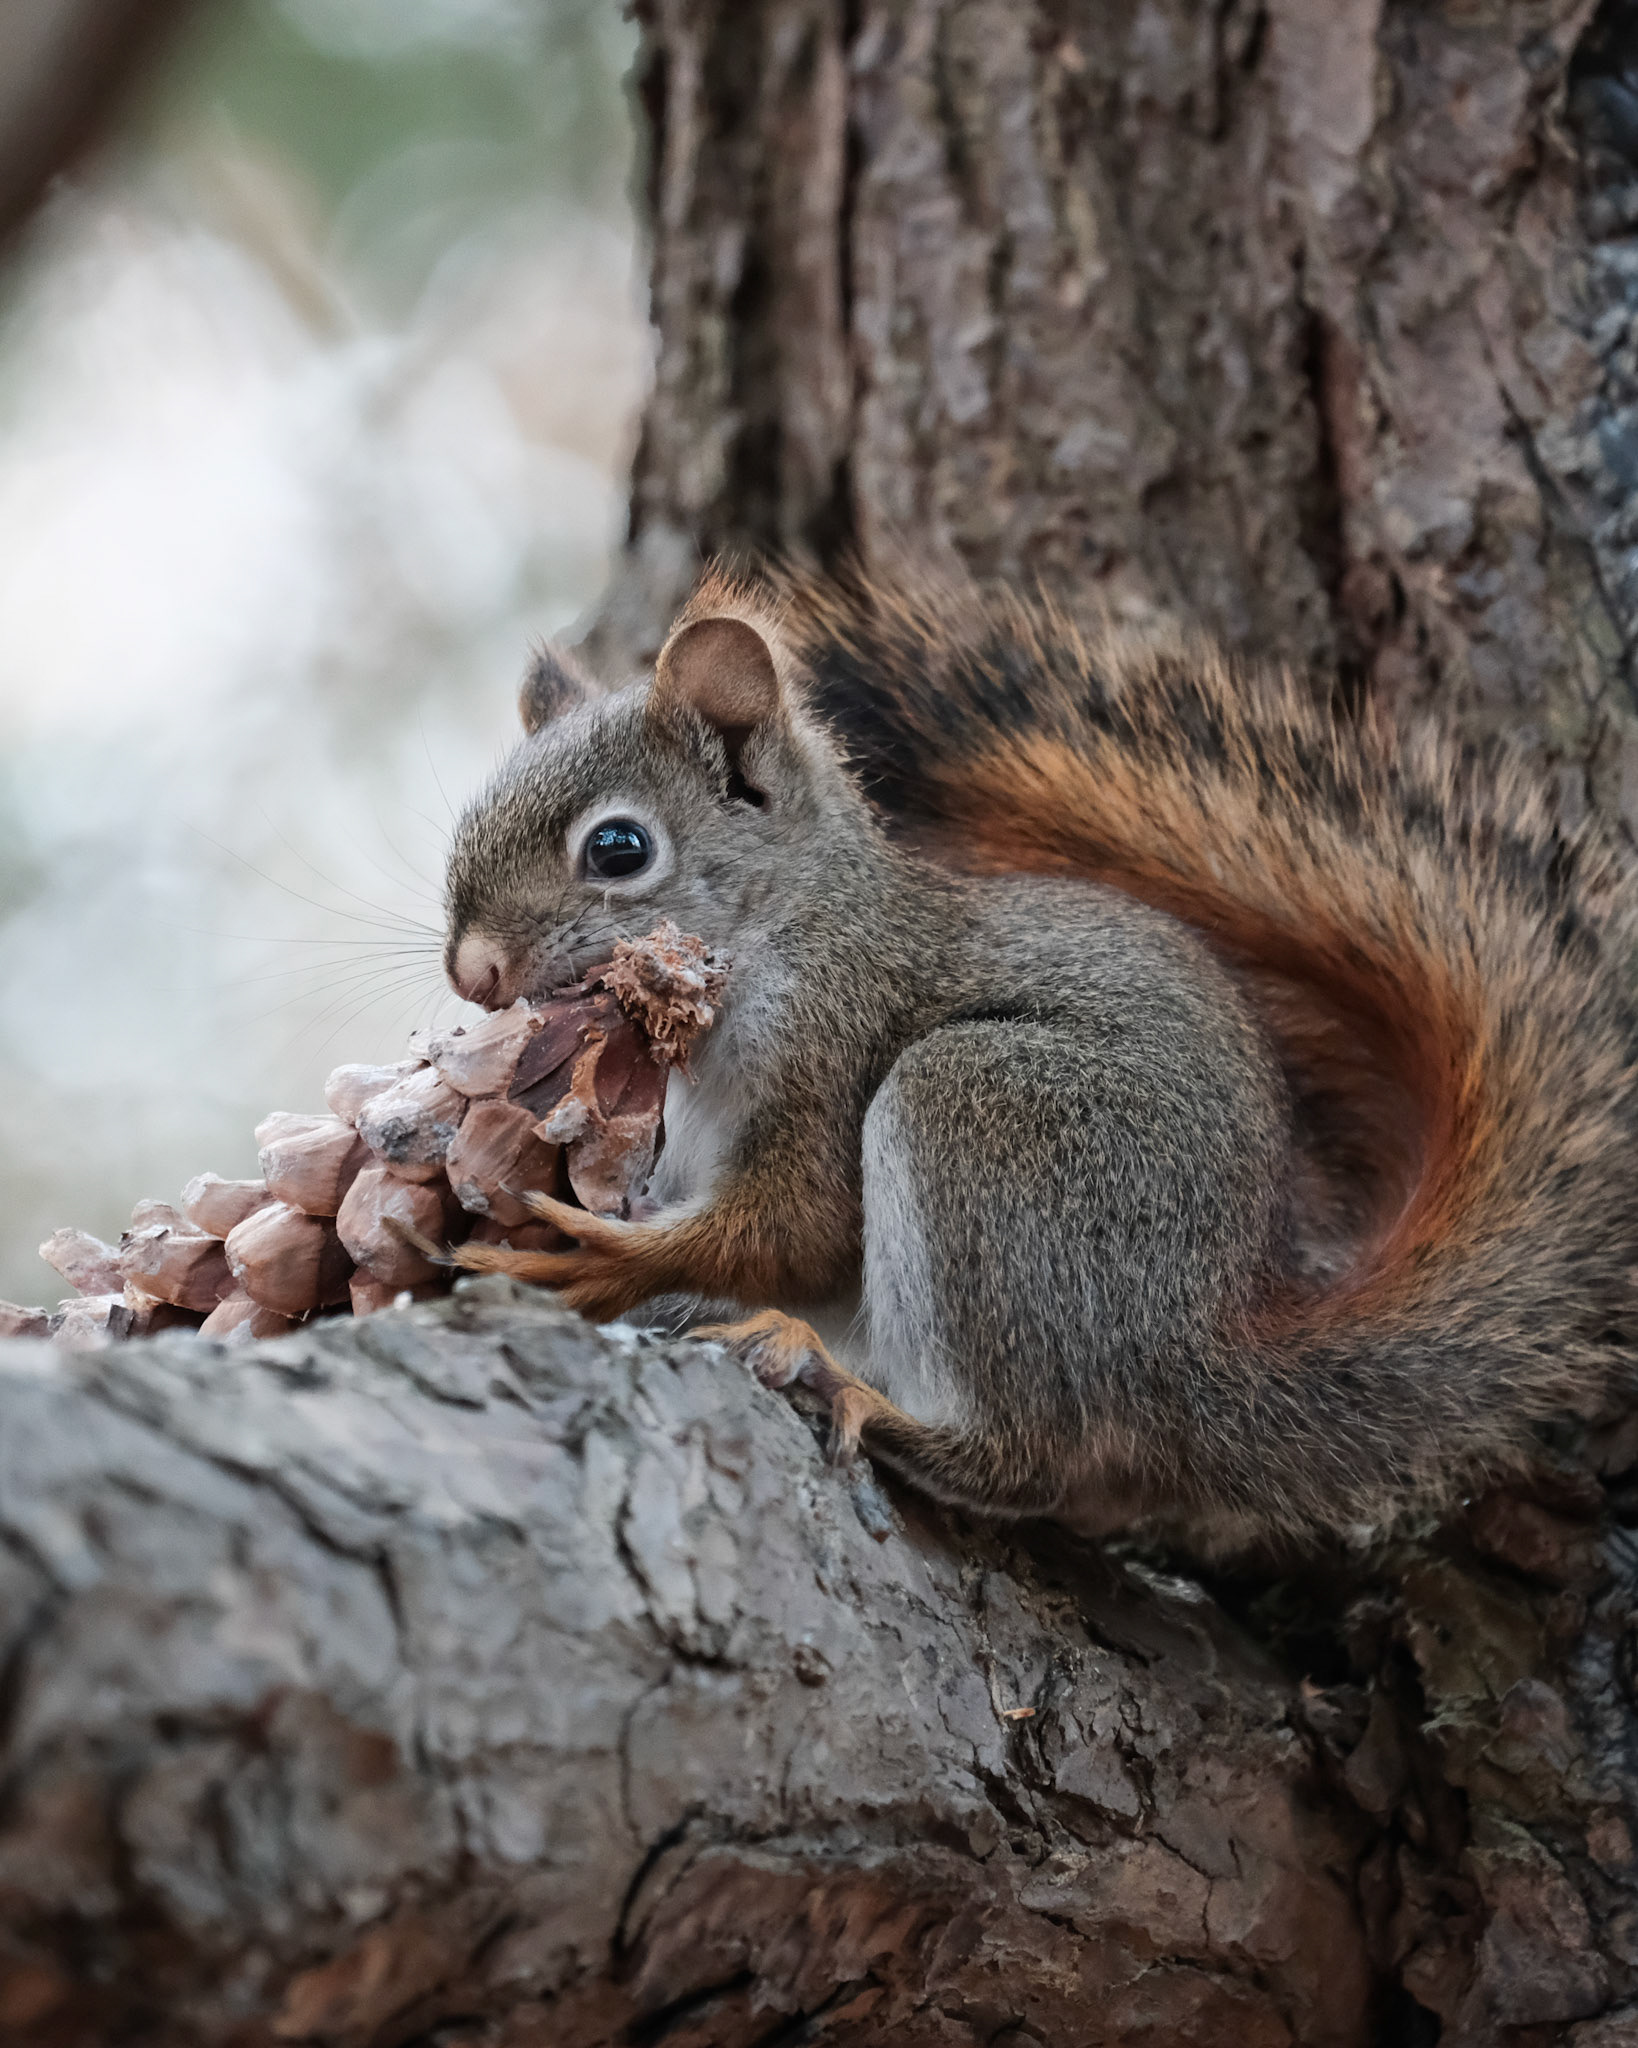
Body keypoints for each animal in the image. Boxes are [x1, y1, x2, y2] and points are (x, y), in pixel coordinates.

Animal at [439, 564, 1638, 1546]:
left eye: (618, 848)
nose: (474, 971)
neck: (786, 923)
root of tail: (1191, 1357)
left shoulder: (832, 1033)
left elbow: (798, 1223)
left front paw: (598, 1259)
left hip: (986, 1118)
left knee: (1033, 1459)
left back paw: (856, 1393)